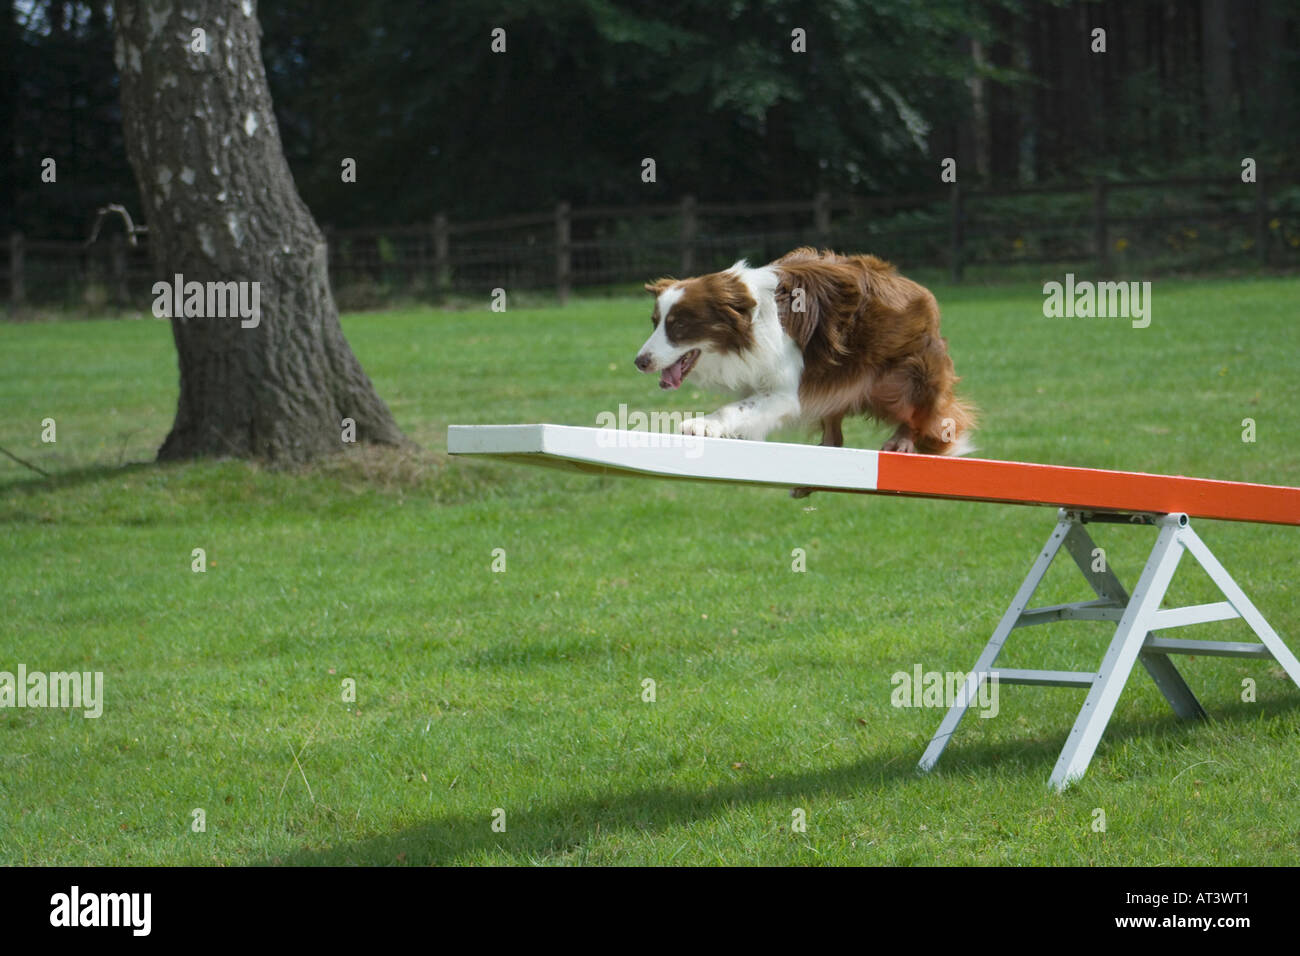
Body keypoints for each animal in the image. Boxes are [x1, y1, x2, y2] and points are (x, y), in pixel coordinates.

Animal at [634, 244, 977, 457]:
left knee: (921, 409)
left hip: (905, 371)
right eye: (654, 322)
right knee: (835, 425)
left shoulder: (785, 389)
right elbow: (748, 409)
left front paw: (703, 424)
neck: (751, 321)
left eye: (679, 326)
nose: (639, 362)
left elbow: (738, 408)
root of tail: (918, 289)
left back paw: (902, 440)